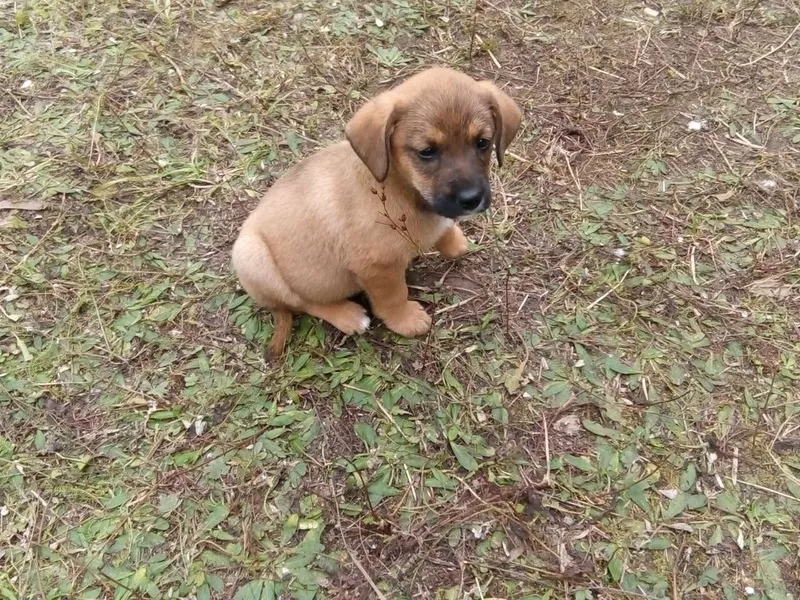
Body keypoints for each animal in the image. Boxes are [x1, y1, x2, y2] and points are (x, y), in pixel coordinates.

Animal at [231, 67, 520, 356]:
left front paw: (454, 240)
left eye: (482, 142)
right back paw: (347, 315)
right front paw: (406, 320)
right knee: (302, 302)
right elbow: (393, 297)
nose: (472, 199)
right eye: (427, 152)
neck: (400, 188)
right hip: (253, 258)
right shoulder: (378, 267)